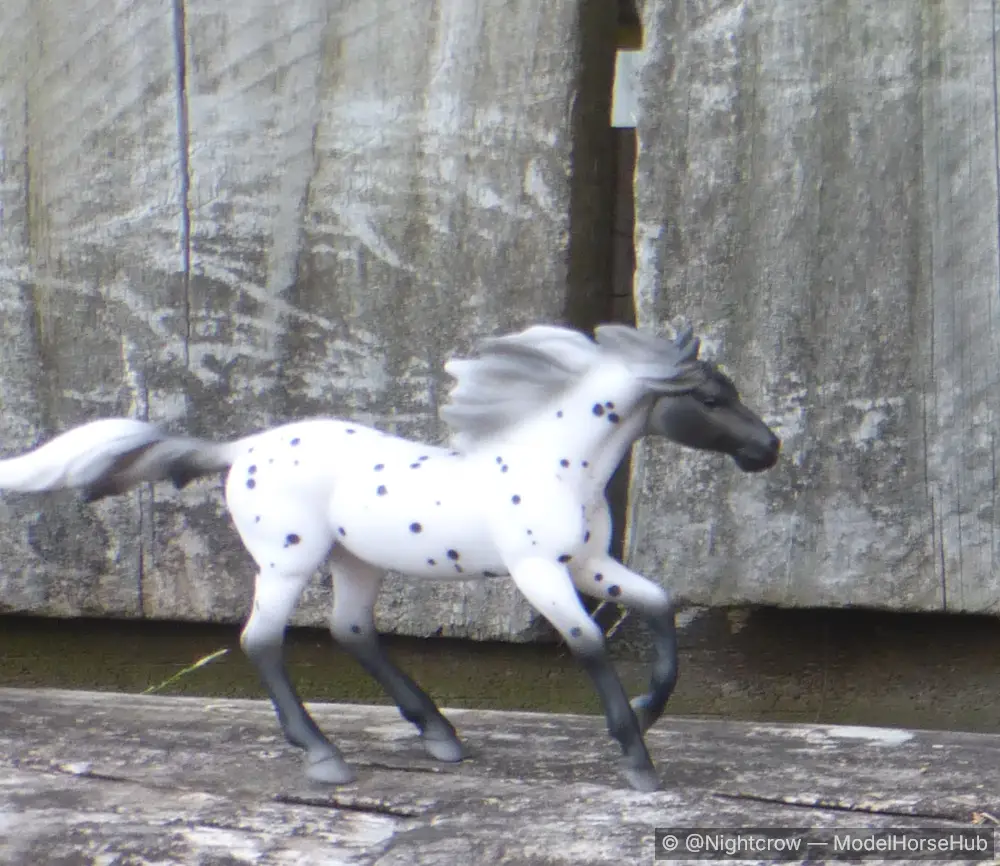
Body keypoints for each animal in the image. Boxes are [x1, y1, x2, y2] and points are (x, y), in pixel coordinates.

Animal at [0, 322, 780, 791]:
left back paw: (438, 734)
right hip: (288, 564)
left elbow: (659, 605)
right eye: (711, 399)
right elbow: (588, 643)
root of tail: (241, 449)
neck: (555, 464)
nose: (768, 449)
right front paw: (638, 759)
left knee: (351, 632)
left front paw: (648, 711)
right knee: (262, 641)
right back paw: (325, 756)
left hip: (356, 563)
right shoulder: (539, 572)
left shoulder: (588, 565)